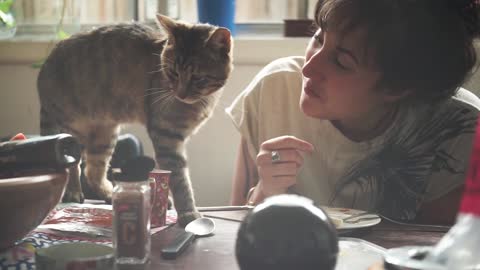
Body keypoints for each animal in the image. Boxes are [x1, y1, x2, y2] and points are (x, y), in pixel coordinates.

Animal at [36, 14, 233, 226]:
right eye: (173, 72)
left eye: (198, 78)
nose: (180, 93)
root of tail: (45, 68)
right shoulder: (166, 136)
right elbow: (180, 180)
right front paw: (189, 214)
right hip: (73, 129)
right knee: (73, 167)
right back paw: (73, 192)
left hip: (105, 134)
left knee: (92, 171)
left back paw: (110, 193)